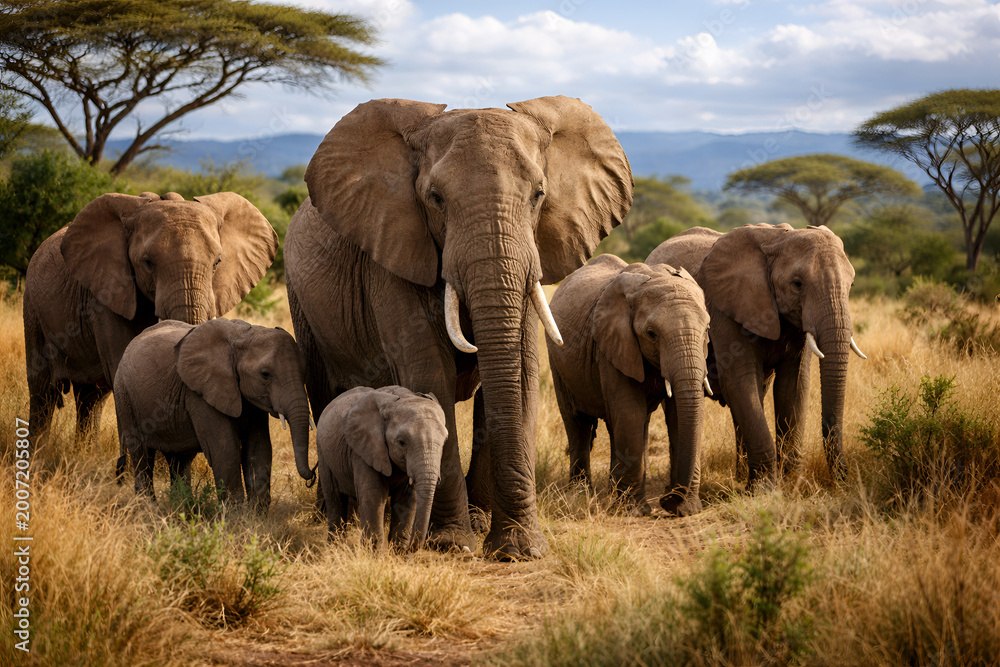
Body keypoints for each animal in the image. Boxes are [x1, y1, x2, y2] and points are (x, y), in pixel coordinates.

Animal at [23, 191, 278, 452]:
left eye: (217, 262)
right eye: (147, 263)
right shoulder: (105, 297)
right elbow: (122, 366)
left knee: (91, 397)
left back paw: (85, 454)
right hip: (32, 309)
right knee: (43, 391)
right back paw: (37, 457)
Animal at [113, 318, 314, 511]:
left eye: (305, 370)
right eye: (265, 374)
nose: (312, 475)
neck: (243, 336)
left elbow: (258, 447)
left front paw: (257, 516)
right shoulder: (200, 395)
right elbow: (225, 448)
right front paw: (235, 516)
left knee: (178, 459)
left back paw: (184, 508)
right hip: (125, 397)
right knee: (142, 454)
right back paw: (149, 510)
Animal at [315, 385, 448, 551]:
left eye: (445, 440)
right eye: (401, 442)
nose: (411, 547)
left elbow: (408, 498)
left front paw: (399, 553)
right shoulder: (363, 451)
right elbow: (373, 495)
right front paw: (375, 553)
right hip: (323, 452)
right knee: (334, 497)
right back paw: (335, 547)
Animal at [547, 254, 710, 517]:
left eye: (707, 330)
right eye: (652, 334)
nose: (667, 500)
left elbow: (677, 414)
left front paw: (687, 509)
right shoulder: (613, 345)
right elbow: (629, 412)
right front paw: (636, 512)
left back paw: (613, 493)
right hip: (557, 361)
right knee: (577, 423)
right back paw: (582, 495)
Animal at [647, 224, 866, 486]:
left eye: (851, 285)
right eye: (797, 284)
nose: (845, 479)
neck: (778, 238)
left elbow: (793, 385)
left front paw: (791, 484)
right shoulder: (724, 308)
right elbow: (740, 381)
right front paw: (765, 488)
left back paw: (741, 478)